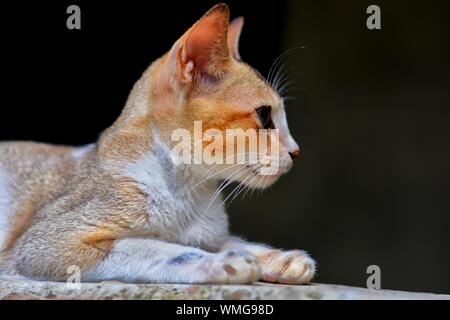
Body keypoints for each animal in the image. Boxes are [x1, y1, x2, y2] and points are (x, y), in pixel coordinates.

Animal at [0, 1, 314, 282]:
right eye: (264, 116)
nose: (296, 151)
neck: (189, 192)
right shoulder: (47, 242)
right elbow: (153, 247)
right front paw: (221, 262)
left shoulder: (211, 234)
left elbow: (229, 240)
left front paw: (280, 258)